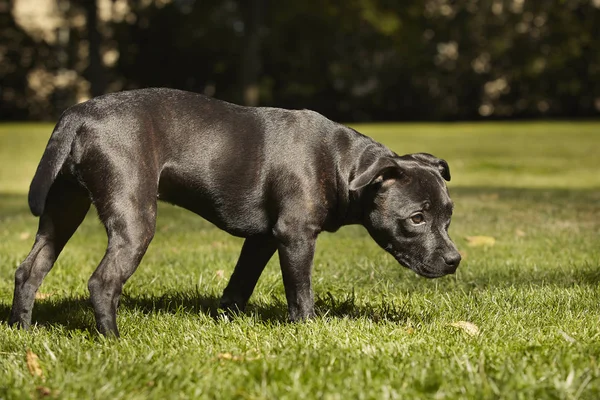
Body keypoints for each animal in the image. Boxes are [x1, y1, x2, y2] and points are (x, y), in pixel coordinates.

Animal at [8, 89, 460, 336]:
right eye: (416, 218)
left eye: (448, 217)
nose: (455, 260)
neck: (343, 164)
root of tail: (78, 114)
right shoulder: (295, 236)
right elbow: (301, 293)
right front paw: (307, 329)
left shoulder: (261, 240)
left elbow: (240, 284)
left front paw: (227, 318)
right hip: (134, 218)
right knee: (102, 281)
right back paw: (113, 340)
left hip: (63, 211)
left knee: (30, 269)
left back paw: (20, 330)